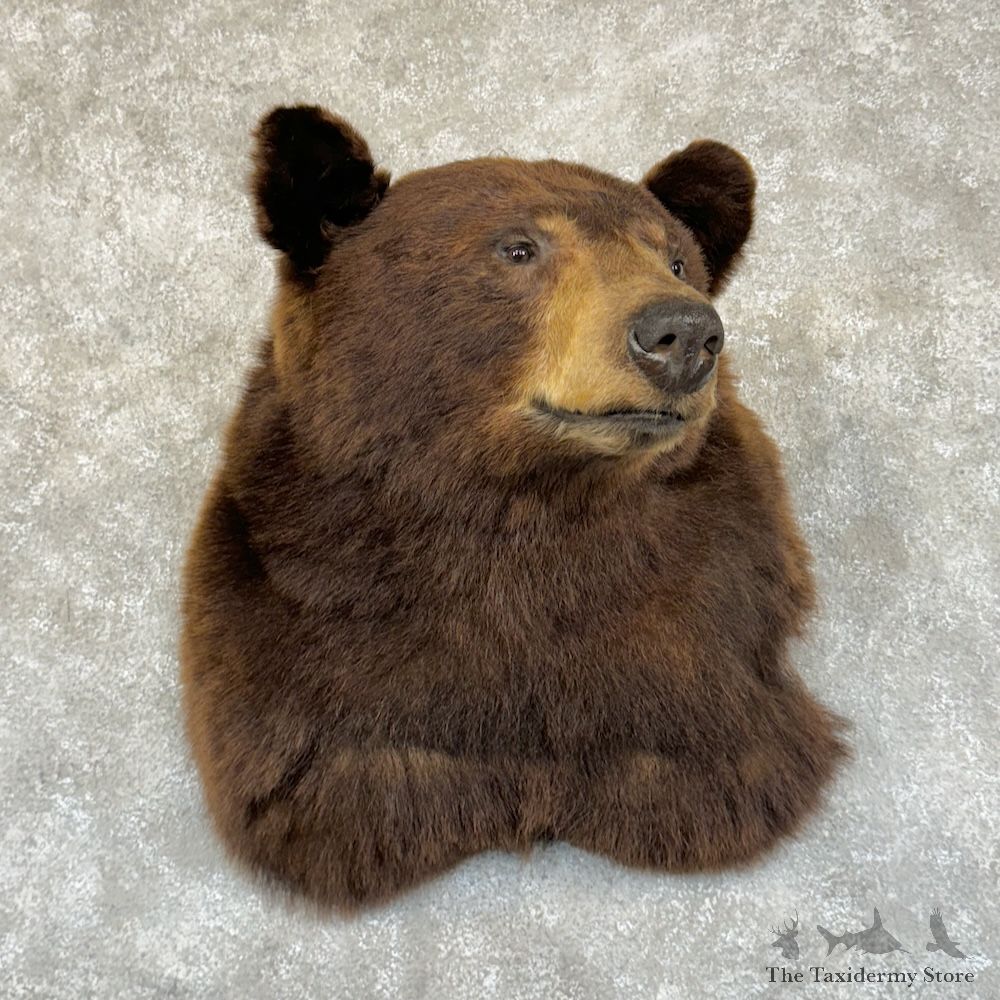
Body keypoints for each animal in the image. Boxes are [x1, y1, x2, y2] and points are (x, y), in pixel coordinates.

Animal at [180, 104, 848, 911]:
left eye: (676, 259)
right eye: (518, 248)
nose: (684, 331)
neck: (523, 497)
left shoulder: (706, 602)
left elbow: (701, 749)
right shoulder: (298, 596)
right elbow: (344, 769)